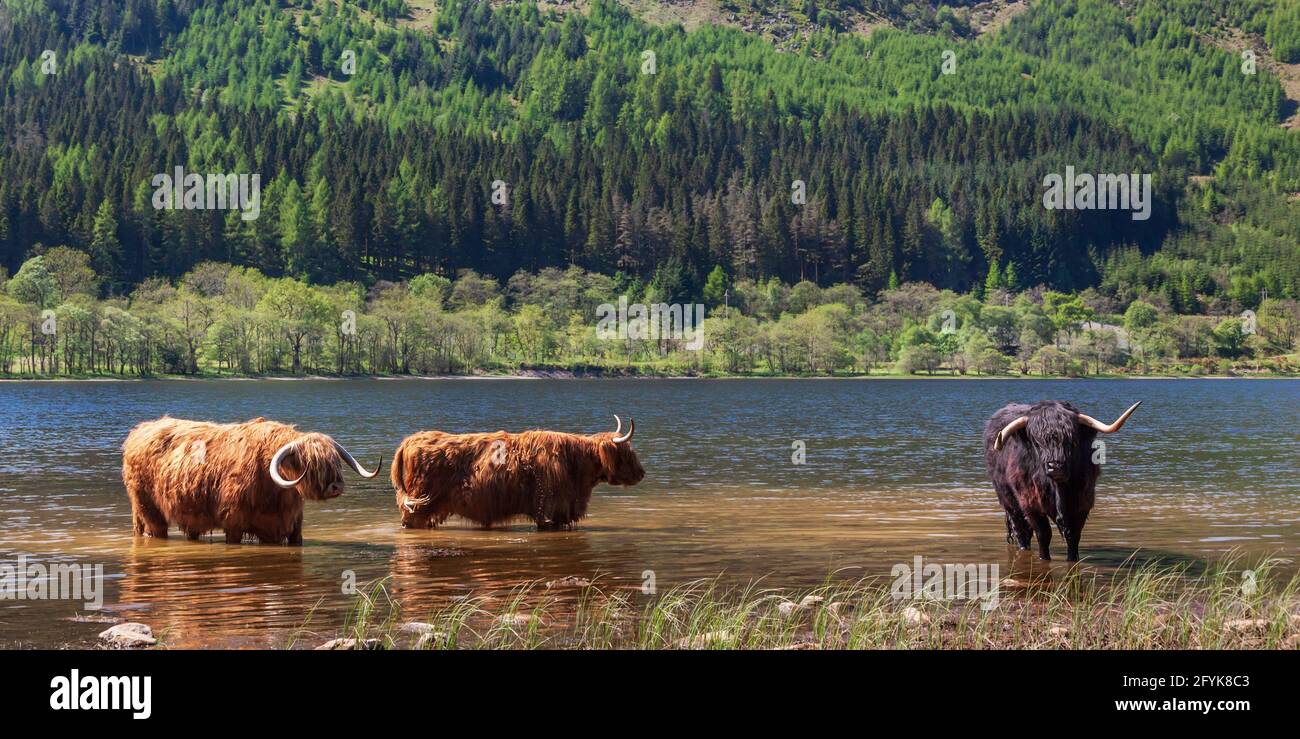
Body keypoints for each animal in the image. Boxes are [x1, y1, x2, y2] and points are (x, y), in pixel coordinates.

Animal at [122, 416, 380, 545]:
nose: (336, 486)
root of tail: (140, 430)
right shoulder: (233, 522)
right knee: (156, 527)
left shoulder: (289, 526)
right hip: (148, 507)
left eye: (335, 461)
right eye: (312, 464)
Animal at [983, 400, 1140, 561]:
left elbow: (1073, 535)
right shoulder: (1030, 504)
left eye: (1071, 440)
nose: (1055, 466)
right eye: (1037, 442)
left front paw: (1072, 559)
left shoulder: (1083, 503)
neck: (1058, 489)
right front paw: (1044, 558)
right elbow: (1044, 534)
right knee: (1020, 530)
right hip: (1008, 501)